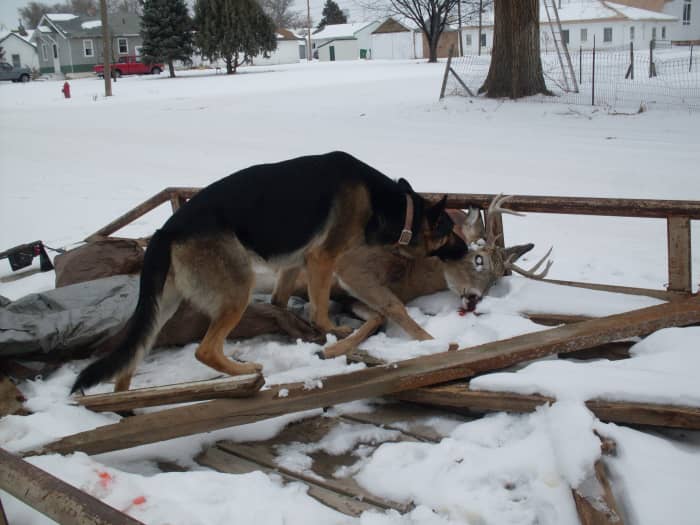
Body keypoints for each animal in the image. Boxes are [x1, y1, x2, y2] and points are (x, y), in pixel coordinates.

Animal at [72, 151, 464, 392]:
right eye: (449, 231)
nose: (466, 250)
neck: (398, 208)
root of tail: (165, 231)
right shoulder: (324, 259)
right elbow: (322, 311)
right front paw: (336, 332)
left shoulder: (296, 263)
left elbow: (280, 301)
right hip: (236, 290)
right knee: (205, 350)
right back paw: (245, 372)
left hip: (164, 307)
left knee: (130, 360)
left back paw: (124, 404)